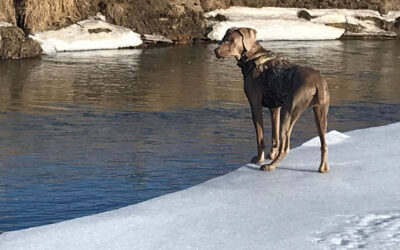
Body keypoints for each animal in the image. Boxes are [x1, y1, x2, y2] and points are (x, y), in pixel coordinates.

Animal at [214, 27, 330, 172]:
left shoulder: (255, 104)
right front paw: (271, 154)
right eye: (223, 39)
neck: (251, 58)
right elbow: (275, 137)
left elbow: (260, 137)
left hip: (289, 110)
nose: (215, 51)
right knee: (324, 144)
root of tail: (317, 83)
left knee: (285, 147)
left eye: (231, 40)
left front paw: (259, 159)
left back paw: (270, 166)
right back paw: (323, 168)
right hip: (320, 112)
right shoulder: (275, 108)